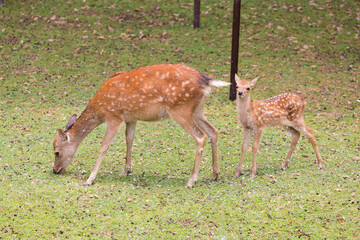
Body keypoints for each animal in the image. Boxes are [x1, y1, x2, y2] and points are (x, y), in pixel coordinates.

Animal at [52, 63, 229, 188]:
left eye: (56, 152)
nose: (55, 170)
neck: (99, 110)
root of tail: (206, 81)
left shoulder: (114, 117)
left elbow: (104, 146)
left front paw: (89, 179)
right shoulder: (131, 118)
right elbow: (129, 139)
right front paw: (126, 171)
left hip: (180, 109)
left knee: (201, 136)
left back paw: (191, 181)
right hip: (197, 110)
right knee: (213, 131)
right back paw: (214, 174)